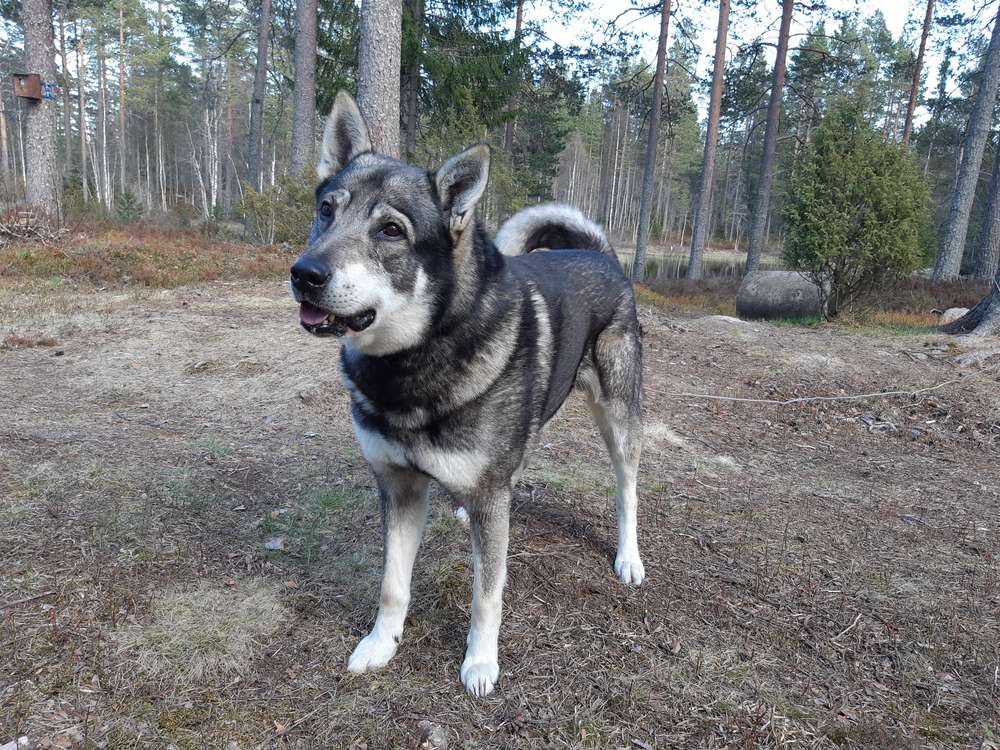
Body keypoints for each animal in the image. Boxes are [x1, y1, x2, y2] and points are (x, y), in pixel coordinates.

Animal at [290, 92, 648, 700]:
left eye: (391, 230)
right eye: (327, 210)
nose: (304, 274)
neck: (412, 362)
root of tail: (602, 254)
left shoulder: (482, 503)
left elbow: (487, 594)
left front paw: (480, 663)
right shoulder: (399, 487)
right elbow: (392, 585)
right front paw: (380, 645)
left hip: (619, 421)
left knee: (626, 492)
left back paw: (629, 557)